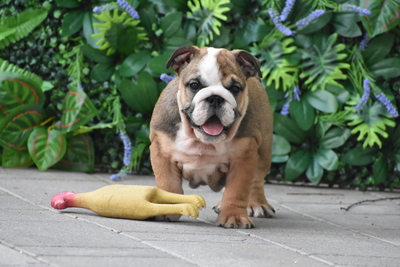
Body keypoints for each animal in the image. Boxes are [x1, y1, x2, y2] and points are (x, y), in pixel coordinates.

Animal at [150, 45, 276, 228]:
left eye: (235, 89)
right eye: (194, 85)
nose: (215, 98)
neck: (201, 140)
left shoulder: (244, 159)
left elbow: (237, 191)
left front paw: (234, 216)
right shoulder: (162, 151)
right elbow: (168, 185)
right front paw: (166, 209)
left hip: (264, 151)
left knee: (256, 181)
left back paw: (256, 204)